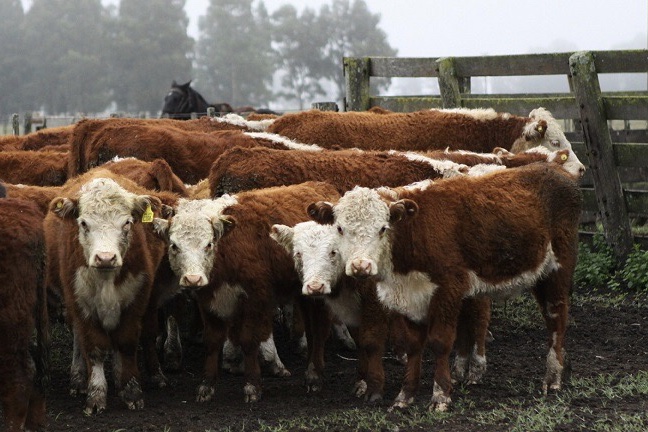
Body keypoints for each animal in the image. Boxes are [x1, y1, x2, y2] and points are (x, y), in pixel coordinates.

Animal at [43, 170, 172, 414]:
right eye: (83, 223)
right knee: (78, 337)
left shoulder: (135, 300)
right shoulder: (81, 302)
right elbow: (94, 348)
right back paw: (78, 379)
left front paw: (131, 390)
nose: (105, 258)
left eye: (127, 223)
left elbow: (127, 343)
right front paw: (95, 395)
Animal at [151, 181, 340, 402]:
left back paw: (314, 376)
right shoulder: (209, 301)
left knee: (319, 330)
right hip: (304, 294)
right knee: (311, 330)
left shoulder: (255, 299)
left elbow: (249, 340)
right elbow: (212, 341)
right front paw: (206, 386)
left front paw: (252, 385)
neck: (226, 250)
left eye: (209, 244)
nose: (193, 279)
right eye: (174, 246)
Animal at [308, 165, 584, 412]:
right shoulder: (410, 298)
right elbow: (413, 345)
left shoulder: (448, 289)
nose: (360, 266)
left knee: (556, 319)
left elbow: (440, 342)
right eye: (340, 228)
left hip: (558, 269)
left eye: (383, 228)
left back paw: (553, 377)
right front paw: (405, 396)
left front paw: (440, 396)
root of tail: (558, 171)